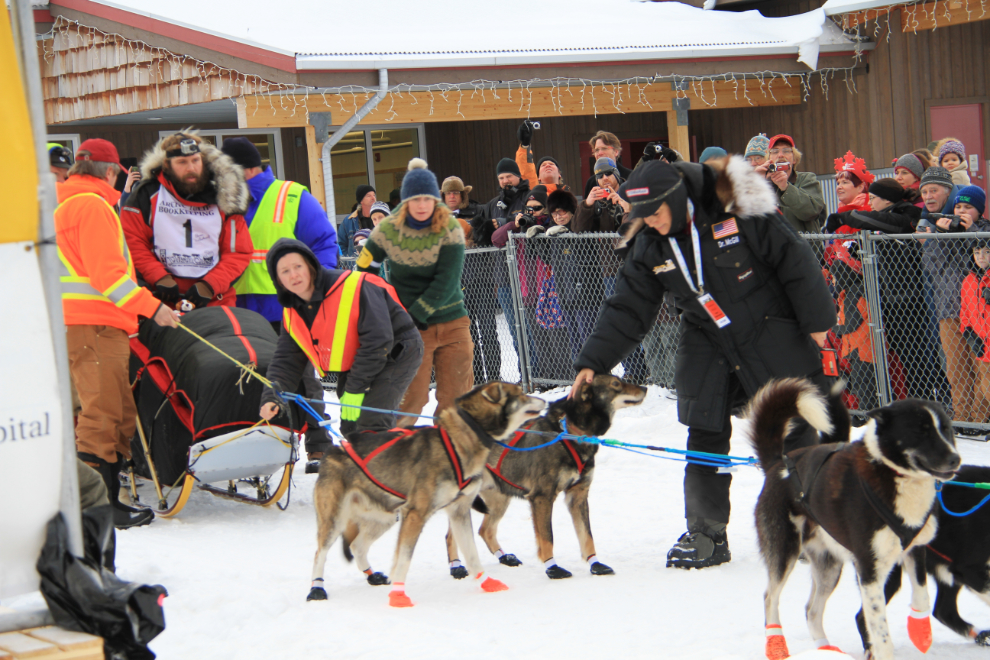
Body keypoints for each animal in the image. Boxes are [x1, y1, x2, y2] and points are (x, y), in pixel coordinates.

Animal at [306, 382, 548, 608]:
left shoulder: (459, 511)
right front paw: (398, 596)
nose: (546, 401)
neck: (460, 440)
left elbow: (471, 554)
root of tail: (333, 450)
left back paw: (372, 575)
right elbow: (404, 560)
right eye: (520, 394)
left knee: (357, 545)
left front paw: (487, 583)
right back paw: (316, 588)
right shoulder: (416, 514)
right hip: (335, 519)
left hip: (385, 517)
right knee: (320, 553)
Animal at [446, 374, 648, 580]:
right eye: (615, 383)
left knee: (485, 530)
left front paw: (595, 564)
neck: (569, 432)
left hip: (498, 500)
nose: (645, 388)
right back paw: (457, 567)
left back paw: (505, 557)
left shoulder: (578, 495)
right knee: (452, 536)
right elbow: (547, 537)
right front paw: (552, 568)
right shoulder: (542, 497)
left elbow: (587, 536)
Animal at [752, 376, 960, 660]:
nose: (956, 459)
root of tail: (778, 463)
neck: (892, 474)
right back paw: (776, 645)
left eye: (947, 429)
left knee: (811, 610)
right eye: (921, 431)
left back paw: (826, 649)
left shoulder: (915, 549)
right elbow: (879, 630)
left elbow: (922, 596)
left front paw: (920, 631)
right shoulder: (869, 567)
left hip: (829, 566)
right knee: (769, 597)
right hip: (785, 549)